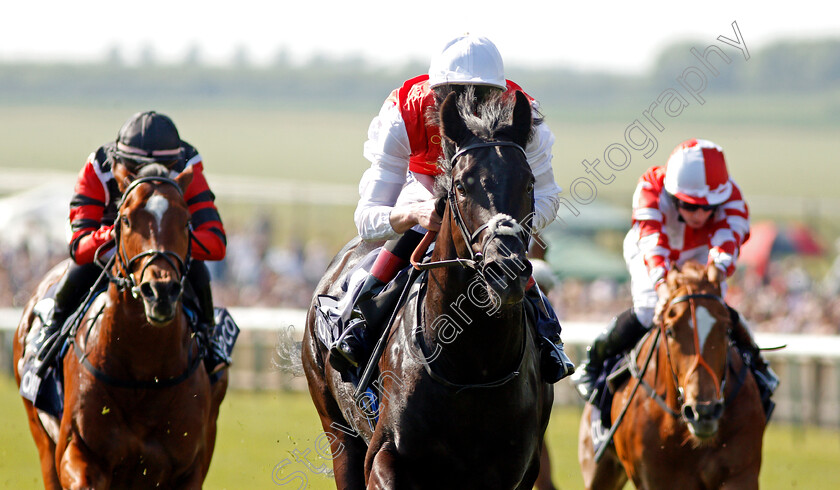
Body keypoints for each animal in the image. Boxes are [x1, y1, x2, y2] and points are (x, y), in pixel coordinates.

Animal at [13, 167, 230, 488]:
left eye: (186, 221)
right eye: (126, 219)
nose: (160, 291)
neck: (143, 374)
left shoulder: (189, 467)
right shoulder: (78, 453)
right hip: (40, 433)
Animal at [302, 90, 552, 488]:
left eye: (529, 183)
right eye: (462, 185)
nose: (506, 271)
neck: (473, 366)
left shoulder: (518, 470)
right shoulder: (383, 455)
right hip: (338, 430)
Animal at [576, 264, 768, 490]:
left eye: (727, 329)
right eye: (670, 331)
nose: (704, 411)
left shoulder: (740, 472)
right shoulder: (657, 479)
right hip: (598, 469)